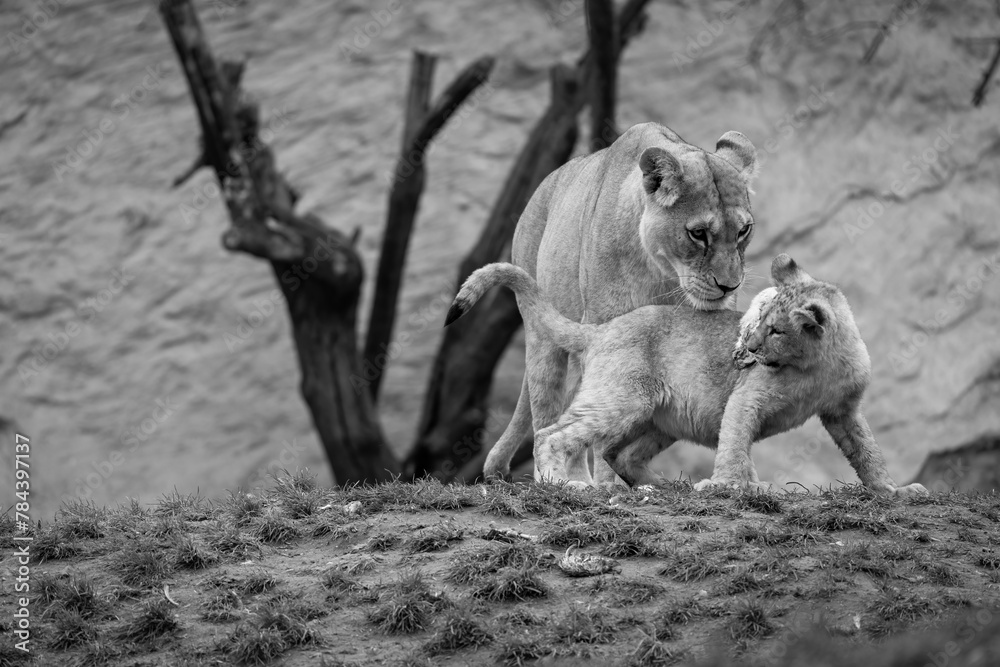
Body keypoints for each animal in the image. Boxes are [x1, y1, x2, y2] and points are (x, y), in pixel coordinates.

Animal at [448, 255, 928, 498]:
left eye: (775, 328)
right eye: (758, 319)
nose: (749, 350)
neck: (818, 365)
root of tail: (603, 328)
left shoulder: (844, 410)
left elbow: (867, 452)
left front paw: (895, 491)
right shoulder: (747, 399)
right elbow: (735, 445)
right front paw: (727, 486)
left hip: (659, 418)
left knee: (620, 454)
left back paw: (657, 488)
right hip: (624, 399)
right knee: (555, 433)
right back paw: (565, 484)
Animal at [484, 122, 759, 486]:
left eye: (743, 231)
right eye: (698, 233)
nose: (729, 285)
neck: (663, 274)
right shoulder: (605, 324)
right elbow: (601, 427)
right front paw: (604, 483)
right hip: (546, 336)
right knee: (551, 410)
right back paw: (567, 480)